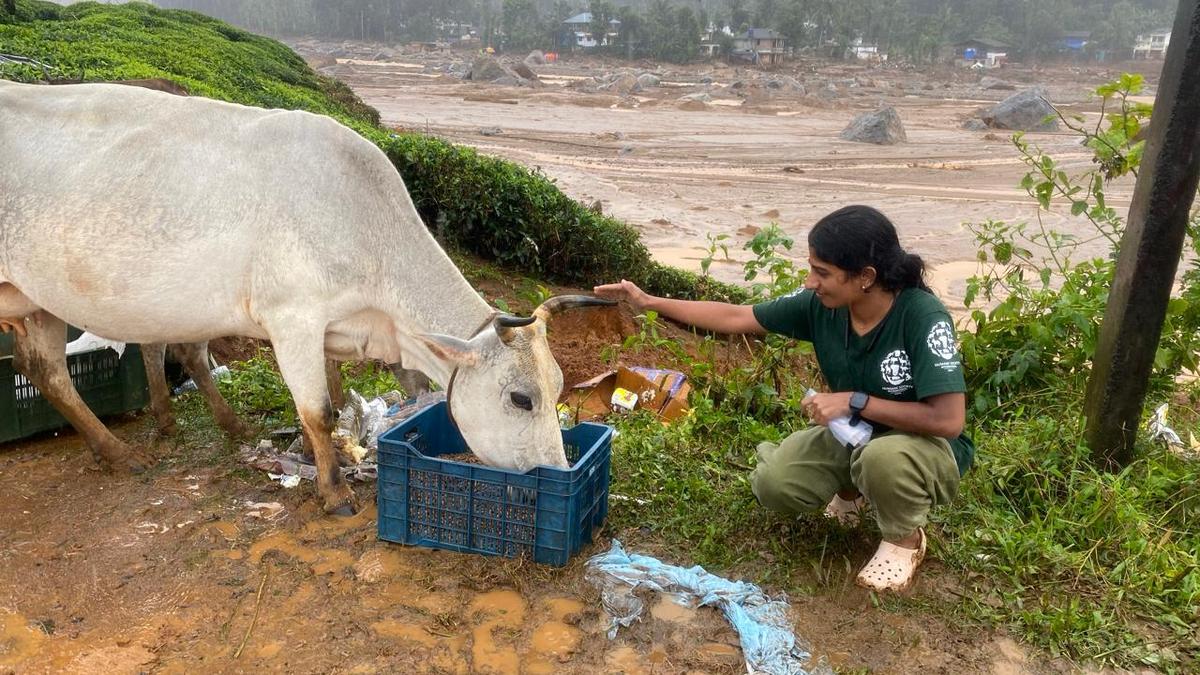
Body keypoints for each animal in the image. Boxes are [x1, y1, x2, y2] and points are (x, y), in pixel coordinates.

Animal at [0, 79, 614, 509]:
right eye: (521, 399)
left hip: (34, 299)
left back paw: (126, 447)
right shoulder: (291, 315)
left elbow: (340, 402)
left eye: (559, 387)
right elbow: (317, 408)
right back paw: (129, 449)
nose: (559, 473)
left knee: (47, 369)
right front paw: (335, 492)